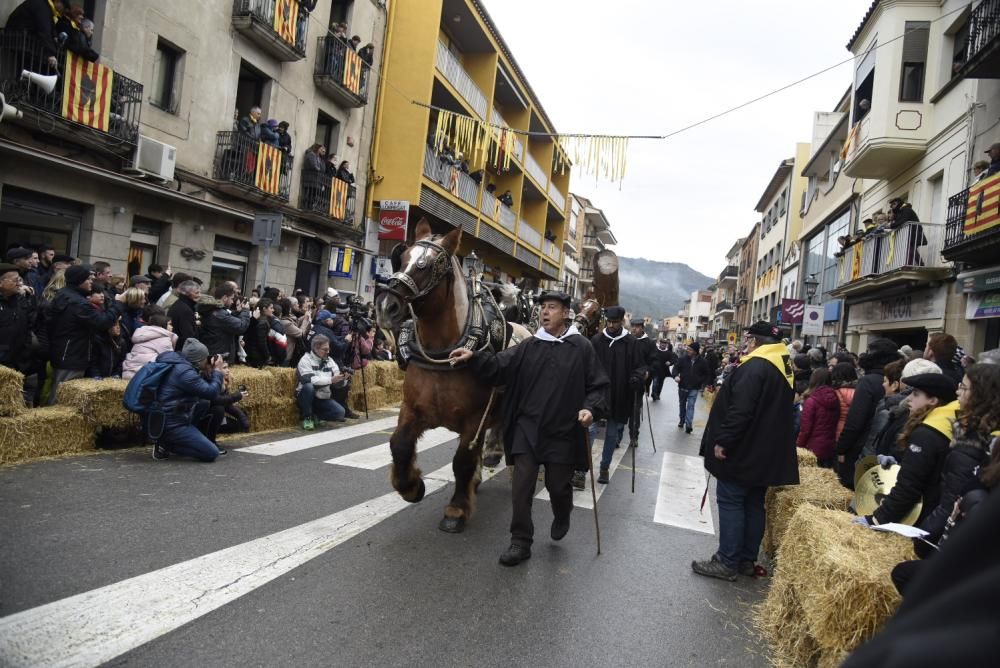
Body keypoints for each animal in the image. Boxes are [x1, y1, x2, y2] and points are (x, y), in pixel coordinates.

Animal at [376, 222, 532, 536]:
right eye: (404, 256)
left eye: (428, 266)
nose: (386, 306)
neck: (444, 352)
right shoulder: (412, 409)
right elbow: (399, 445)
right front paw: (411, 486)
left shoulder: (474, 419)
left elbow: (461, 462)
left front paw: (456, 510)